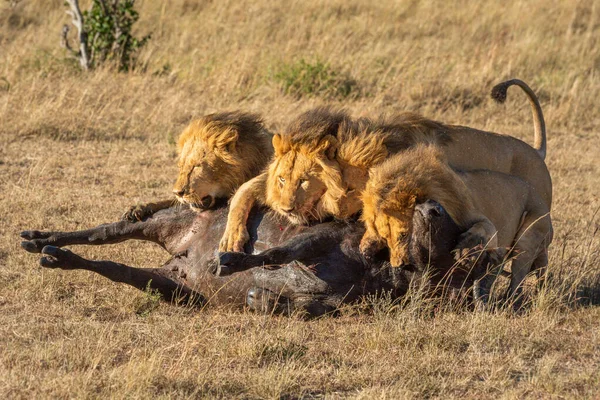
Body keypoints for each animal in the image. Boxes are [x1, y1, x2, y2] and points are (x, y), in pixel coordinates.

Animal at [219, 78, 552, 253]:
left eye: (304, 181)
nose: (286, 208)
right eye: (282, 180)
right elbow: (245, 190)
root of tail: (536, 152)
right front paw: (230, 238)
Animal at [358, 144, 552, 300]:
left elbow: (484, 228)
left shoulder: (474, 214)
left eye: (403, 235)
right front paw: (366, 247)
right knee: (541, 271)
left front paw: (464, 251)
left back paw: (509, 301)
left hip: (528, 236)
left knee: (518, 277)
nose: (399, 265)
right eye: (385, 238)